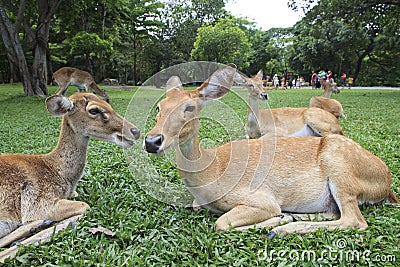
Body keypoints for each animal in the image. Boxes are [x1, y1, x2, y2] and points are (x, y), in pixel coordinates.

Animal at [143, 64, 396, 237]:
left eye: (189, 108)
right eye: (159, 107)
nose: (152, 141)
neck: (211, 172)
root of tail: (387, 184)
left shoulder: (260, 198)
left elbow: (222, 223)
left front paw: (277, 220)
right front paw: (283, 217)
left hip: (340, 168)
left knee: (354, 220)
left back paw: (284, 227)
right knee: (335, 212)